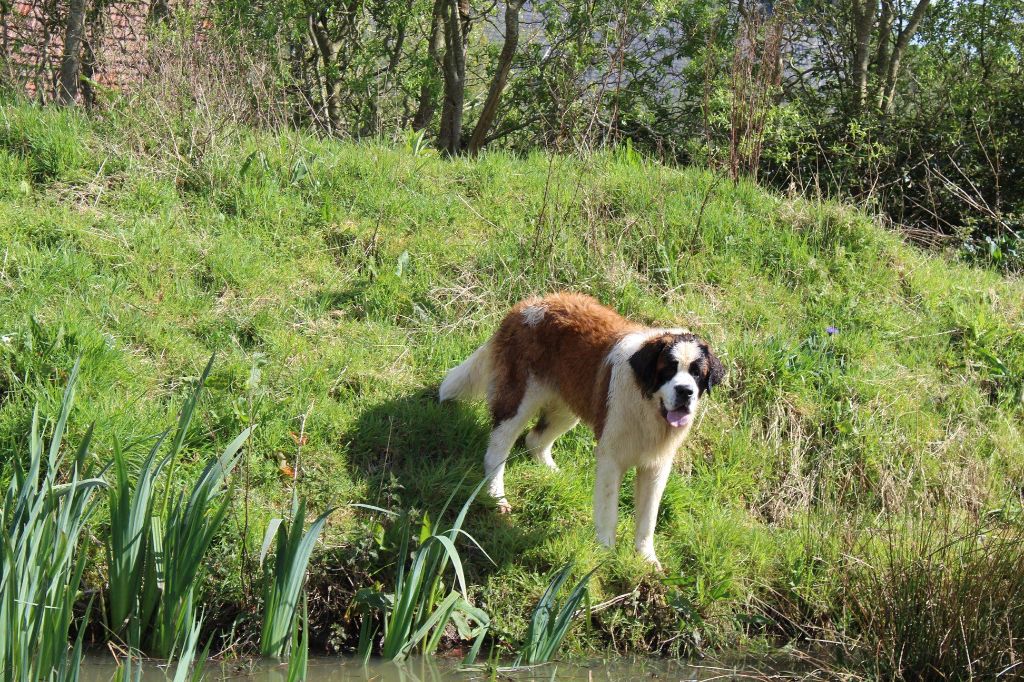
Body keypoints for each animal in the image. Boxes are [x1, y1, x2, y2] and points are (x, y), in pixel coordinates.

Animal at [436, 288, 724, 565]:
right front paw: (606, 552)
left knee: (535, 439)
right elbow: (609, 510)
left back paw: (552, 473)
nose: (685, 391)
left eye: (697, 373)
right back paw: (496, 495)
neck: (647, 403)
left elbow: (648, 518)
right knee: (498, 447)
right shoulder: (611, 459)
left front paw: (647, 560)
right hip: (519, 399)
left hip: (568, 406)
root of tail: (528, 305)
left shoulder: (656, 467)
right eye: (668, 369)